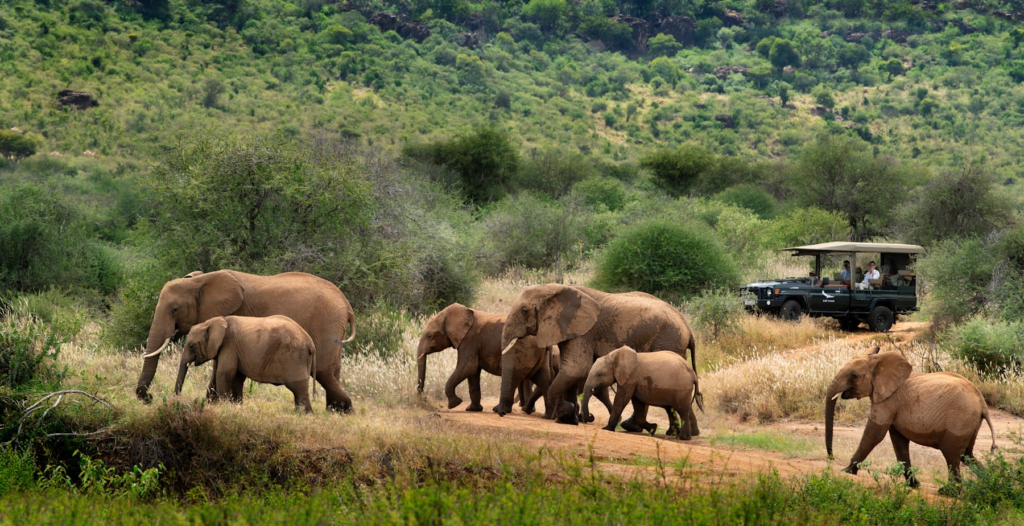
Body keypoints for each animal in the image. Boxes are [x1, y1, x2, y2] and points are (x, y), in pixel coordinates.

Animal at [175, 316, 317, 412]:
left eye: (191, 346)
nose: (177, 398)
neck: (212, 322)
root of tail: (310, 342)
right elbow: (225, 376)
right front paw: (231, 405)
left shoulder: (229, 345)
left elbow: (224, 374)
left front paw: (223, 406)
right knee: (298, 390)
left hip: (295, 357)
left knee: (298, 387)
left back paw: (305, 414)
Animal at [416, 303, 551, 413]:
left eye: (429, 335)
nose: (422, 397)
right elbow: (473, 373)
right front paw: (472, 409)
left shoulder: (469, 340)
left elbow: (468, 367)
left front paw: (454, 404)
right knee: (539, 379)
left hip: (524, 352)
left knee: (513, 377)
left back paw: (499, 410)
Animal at [498, 284, 698, 425]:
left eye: (524, 311)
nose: (502, 413)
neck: (555, 289)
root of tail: (689, 328)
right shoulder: (572, 330)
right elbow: (572, 372)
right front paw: (571, 417)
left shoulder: (584, 332)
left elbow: (576, 369)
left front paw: (560, 414)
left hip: (668, 340)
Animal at [825, 346, 997, 487]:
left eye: (854, 376)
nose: (831, 458)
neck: (879, 361)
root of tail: (982, 403)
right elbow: (898, 441)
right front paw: (914, 485)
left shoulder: (889, 400)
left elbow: (875, 433)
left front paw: (846, 471)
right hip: (969, 422)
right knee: (966, 455)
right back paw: (987, 482)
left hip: (960, 420)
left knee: (952, 454)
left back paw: (949, 491)